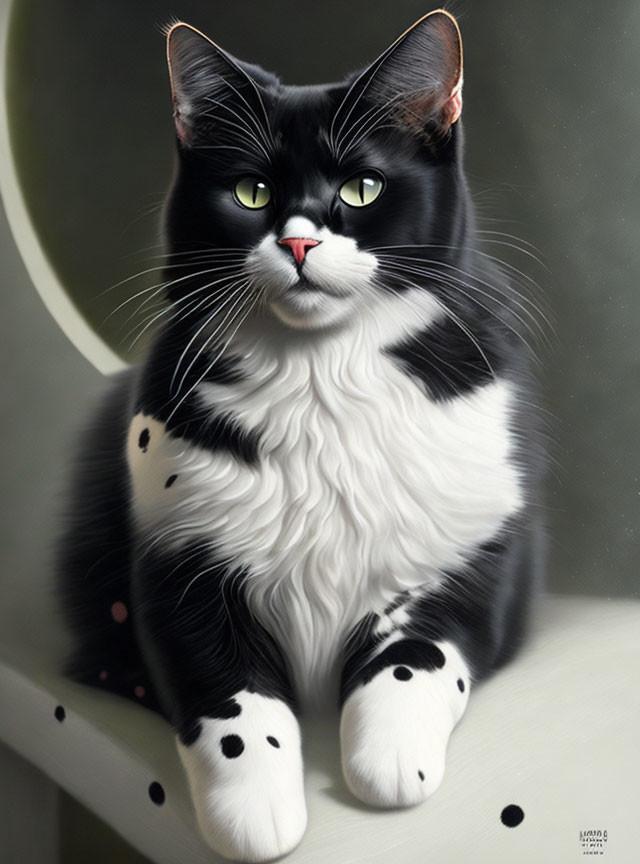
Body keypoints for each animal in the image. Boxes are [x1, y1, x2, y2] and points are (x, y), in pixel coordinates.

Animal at [56, 8, 544, 864]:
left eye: (362, 187)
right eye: (251, 192)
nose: (300, 242)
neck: (322, 376)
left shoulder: (475, 548)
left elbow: (418, 656)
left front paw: (389, 759)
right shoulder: (175, 563)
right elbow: (230, 697)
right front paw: (255, 811)